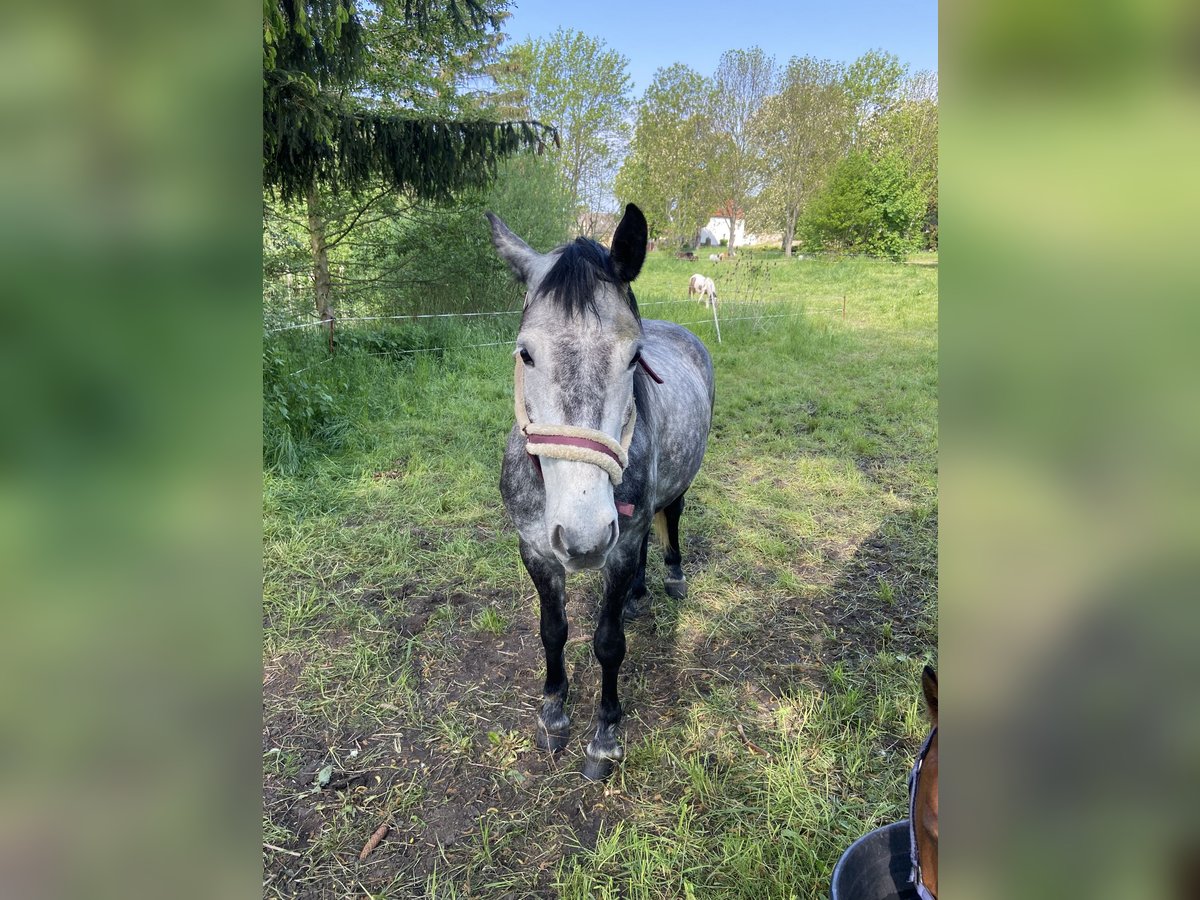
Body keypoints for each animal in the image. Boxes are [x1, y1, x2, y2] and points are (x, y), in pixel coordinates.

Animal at [487, 204, 710, 782]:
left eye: (633, 358)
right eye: (526, 354)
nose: (584, 537)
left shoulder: (619, 544)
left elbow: (609, 644)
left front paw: (605, 737)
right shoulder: (536, 549)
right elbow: (553, 630)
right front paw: (553, 713)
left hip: (668, 495)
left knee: (670, 519)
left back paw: (670, 578)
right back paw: (637, 595)